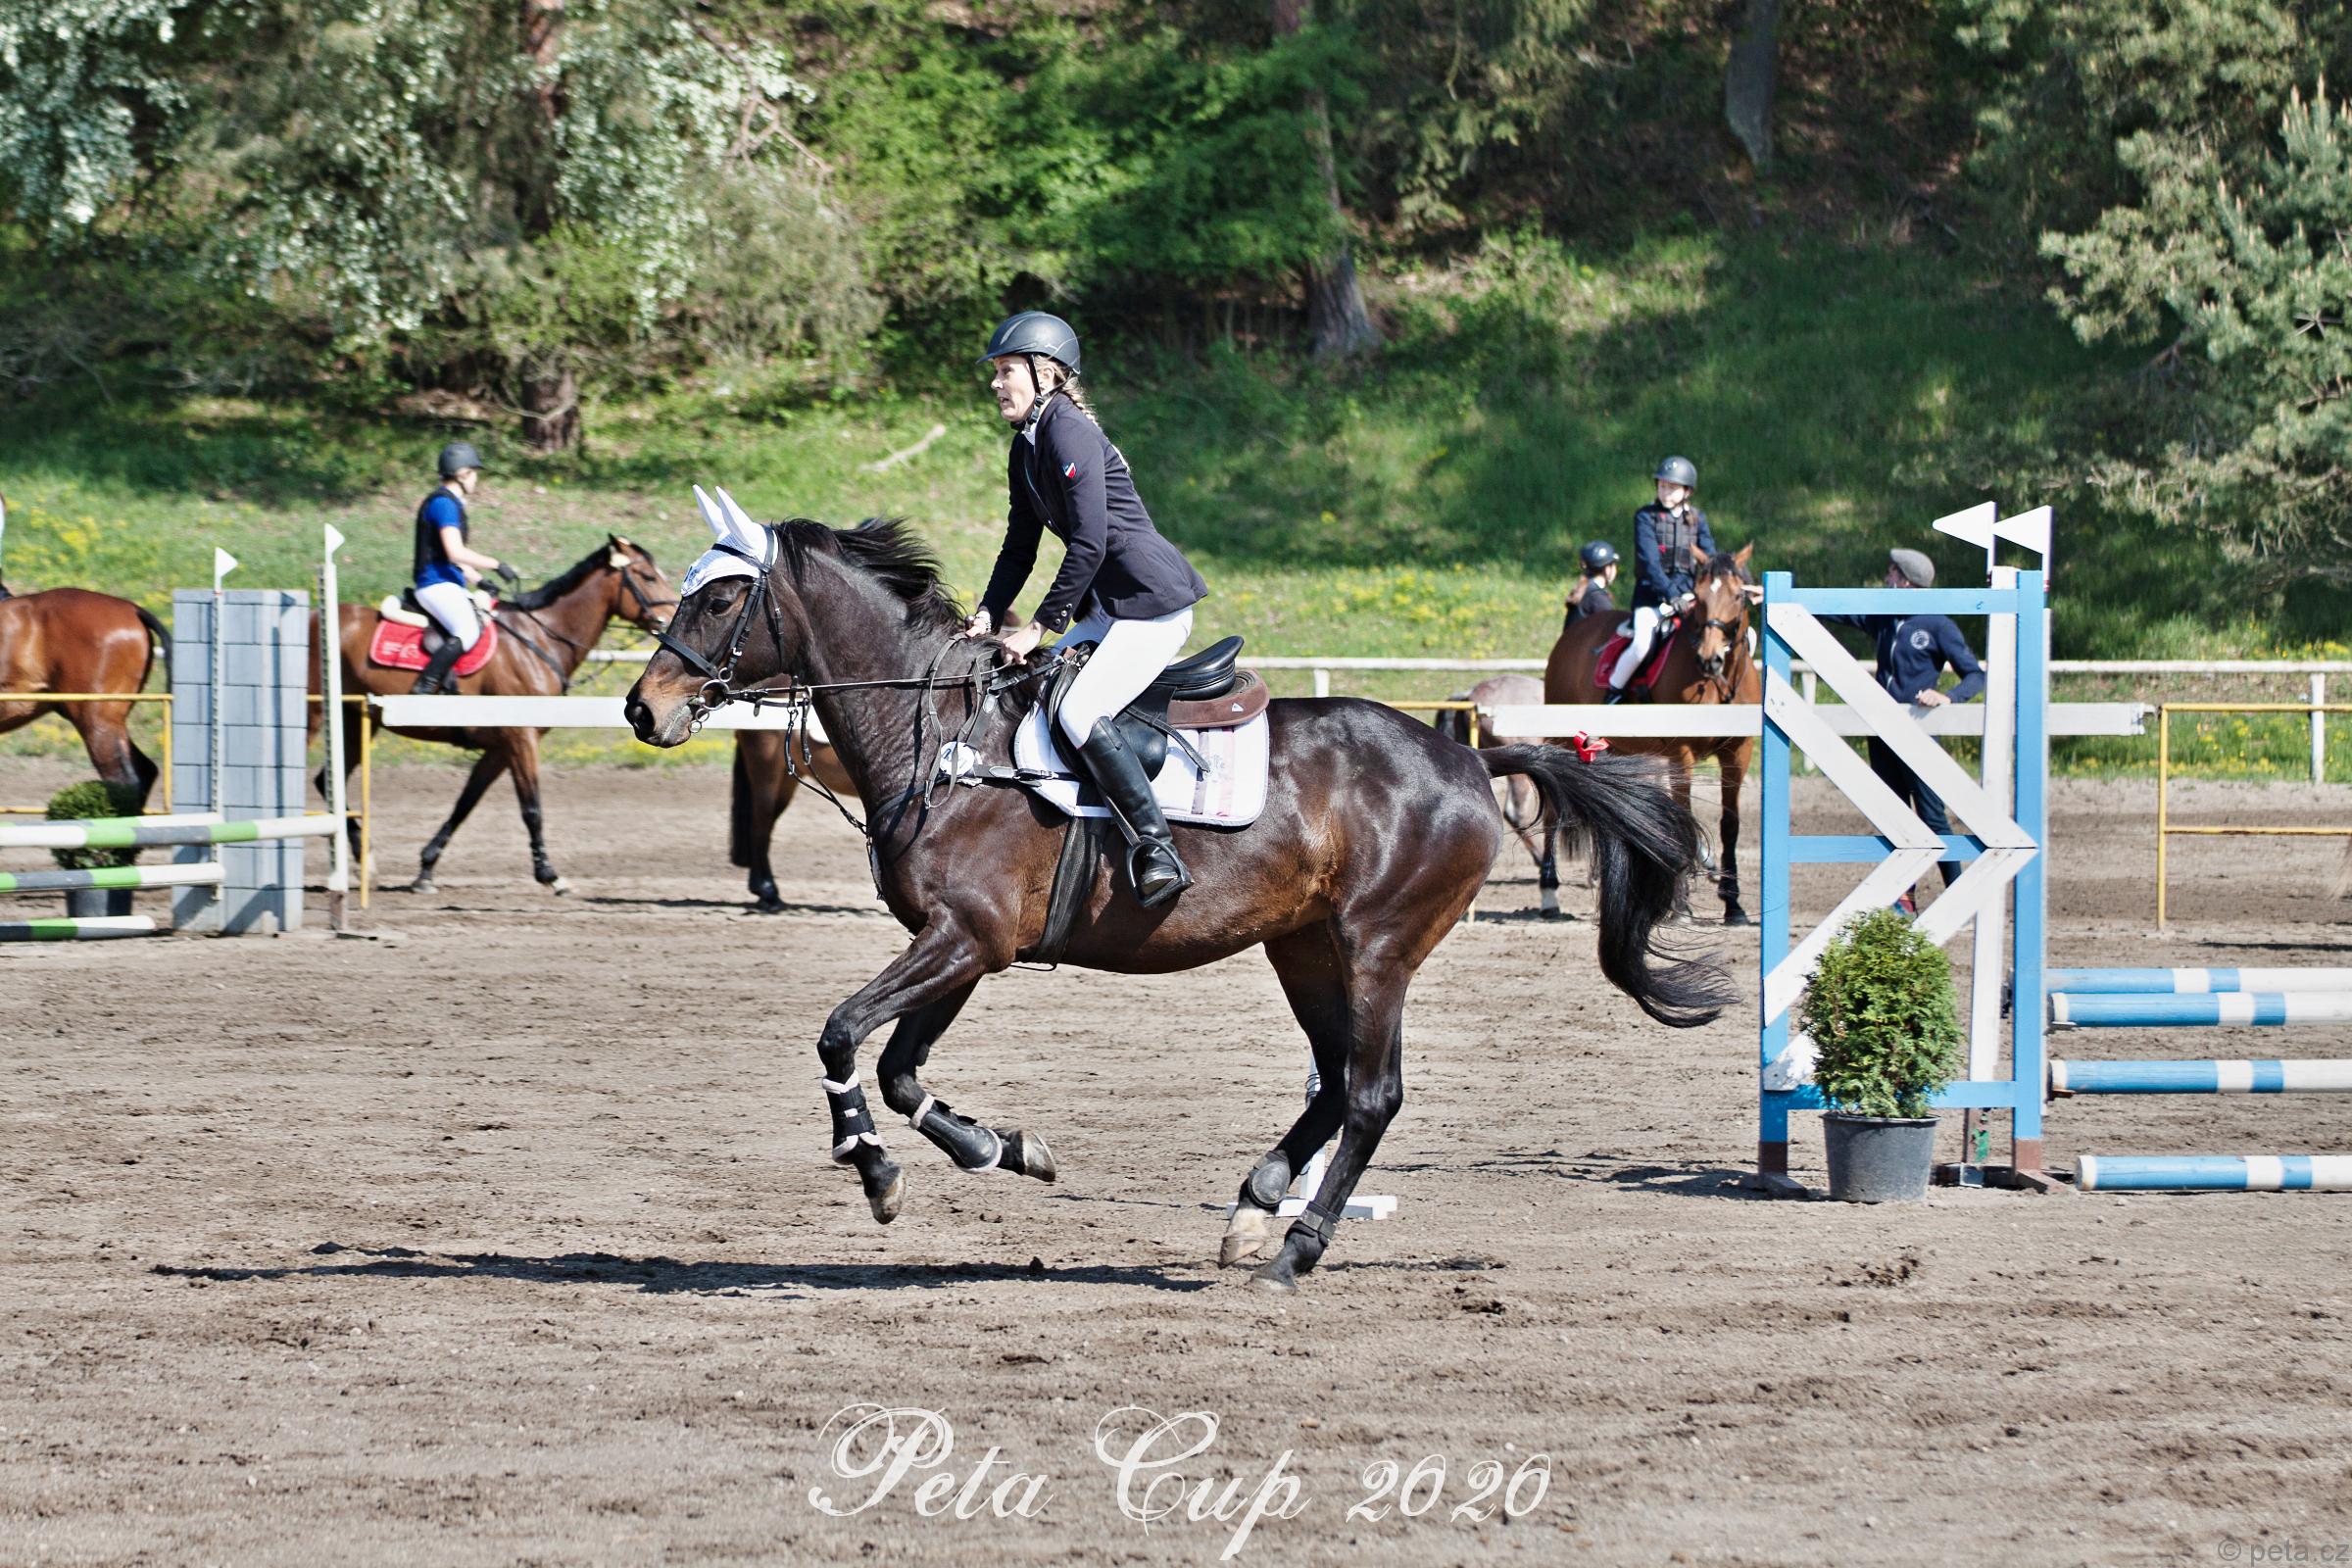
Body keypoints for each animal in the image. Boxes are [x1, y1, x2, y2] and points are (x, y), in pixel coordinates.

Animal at [309, 536, 674, 894]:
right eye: (648, 577)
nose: (670, 622)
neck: (539, 639)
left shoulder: (500, 748)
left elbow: (465, 803)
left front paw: (426, 868)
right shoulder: (521, 738)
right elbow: (531, 808)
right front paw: (549, 874)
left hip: (355, 721)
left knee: (326, 781)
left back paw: (364, 857)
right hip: (316, 716)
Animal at [624, 513, 1730, 1293]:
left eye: (723, 601)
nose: (644, 707)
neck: (940, 735)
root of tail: (1467, 756)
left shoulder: (964, 939)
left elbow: (842, 1034)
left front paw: (878, 1175)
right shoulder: (965, 947)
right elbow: (899, 1070)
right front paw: (1002, 1151)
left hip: (1377, 946)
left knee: (1371, 1094)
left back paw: (1294, 1252)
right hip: (1305, 947)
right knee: (1336, 1083)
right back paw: (1253, 1208)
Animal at [1544, 545, 1759, 925]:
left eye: (1738, 596)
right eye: (1699, 597)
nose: (1710, 659)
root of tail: (1571, 636)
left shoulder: (1738, 753)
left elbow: (1730, 825)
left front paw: (1734, 905)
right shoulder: (1681, 754)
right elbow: (1684, 821)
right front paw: (1682, 908)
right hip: (1562, 741)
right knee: (1553, 813)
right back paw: (1549, 896)